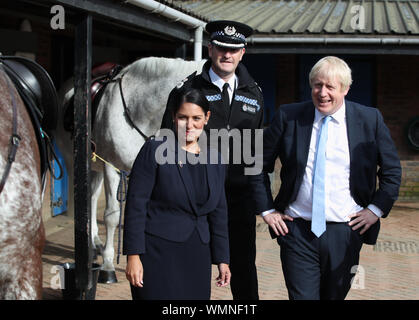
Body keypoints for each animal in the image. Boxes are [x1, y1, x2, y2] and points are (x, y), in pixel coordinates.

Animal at [55, 58, 207, 282]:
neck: (137, 111)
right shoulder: (111, 167)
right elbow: (112, 216)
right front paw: (108, 267)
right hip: (74, 161)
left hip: (95, 166)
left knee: (92, 197)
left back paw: (94, 242)